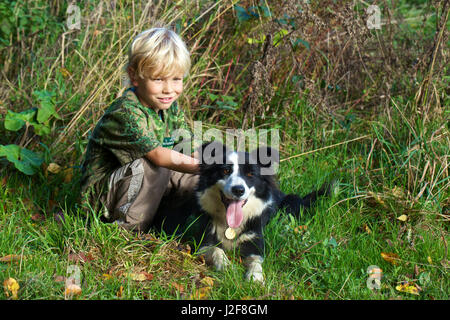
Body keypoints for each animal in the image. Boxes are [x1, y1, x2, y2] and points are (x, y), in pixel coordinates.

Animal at [153, 142, 332, 282]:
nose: (238, 190)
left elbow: (255, 261)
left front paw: (255, 278)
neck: (230, 224)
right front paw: (226, 266)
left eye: (250, 174)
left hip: (291, 201)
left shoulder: (255, 241)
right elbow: (217, 250)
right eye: (225, 171)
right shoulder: (203, 242)